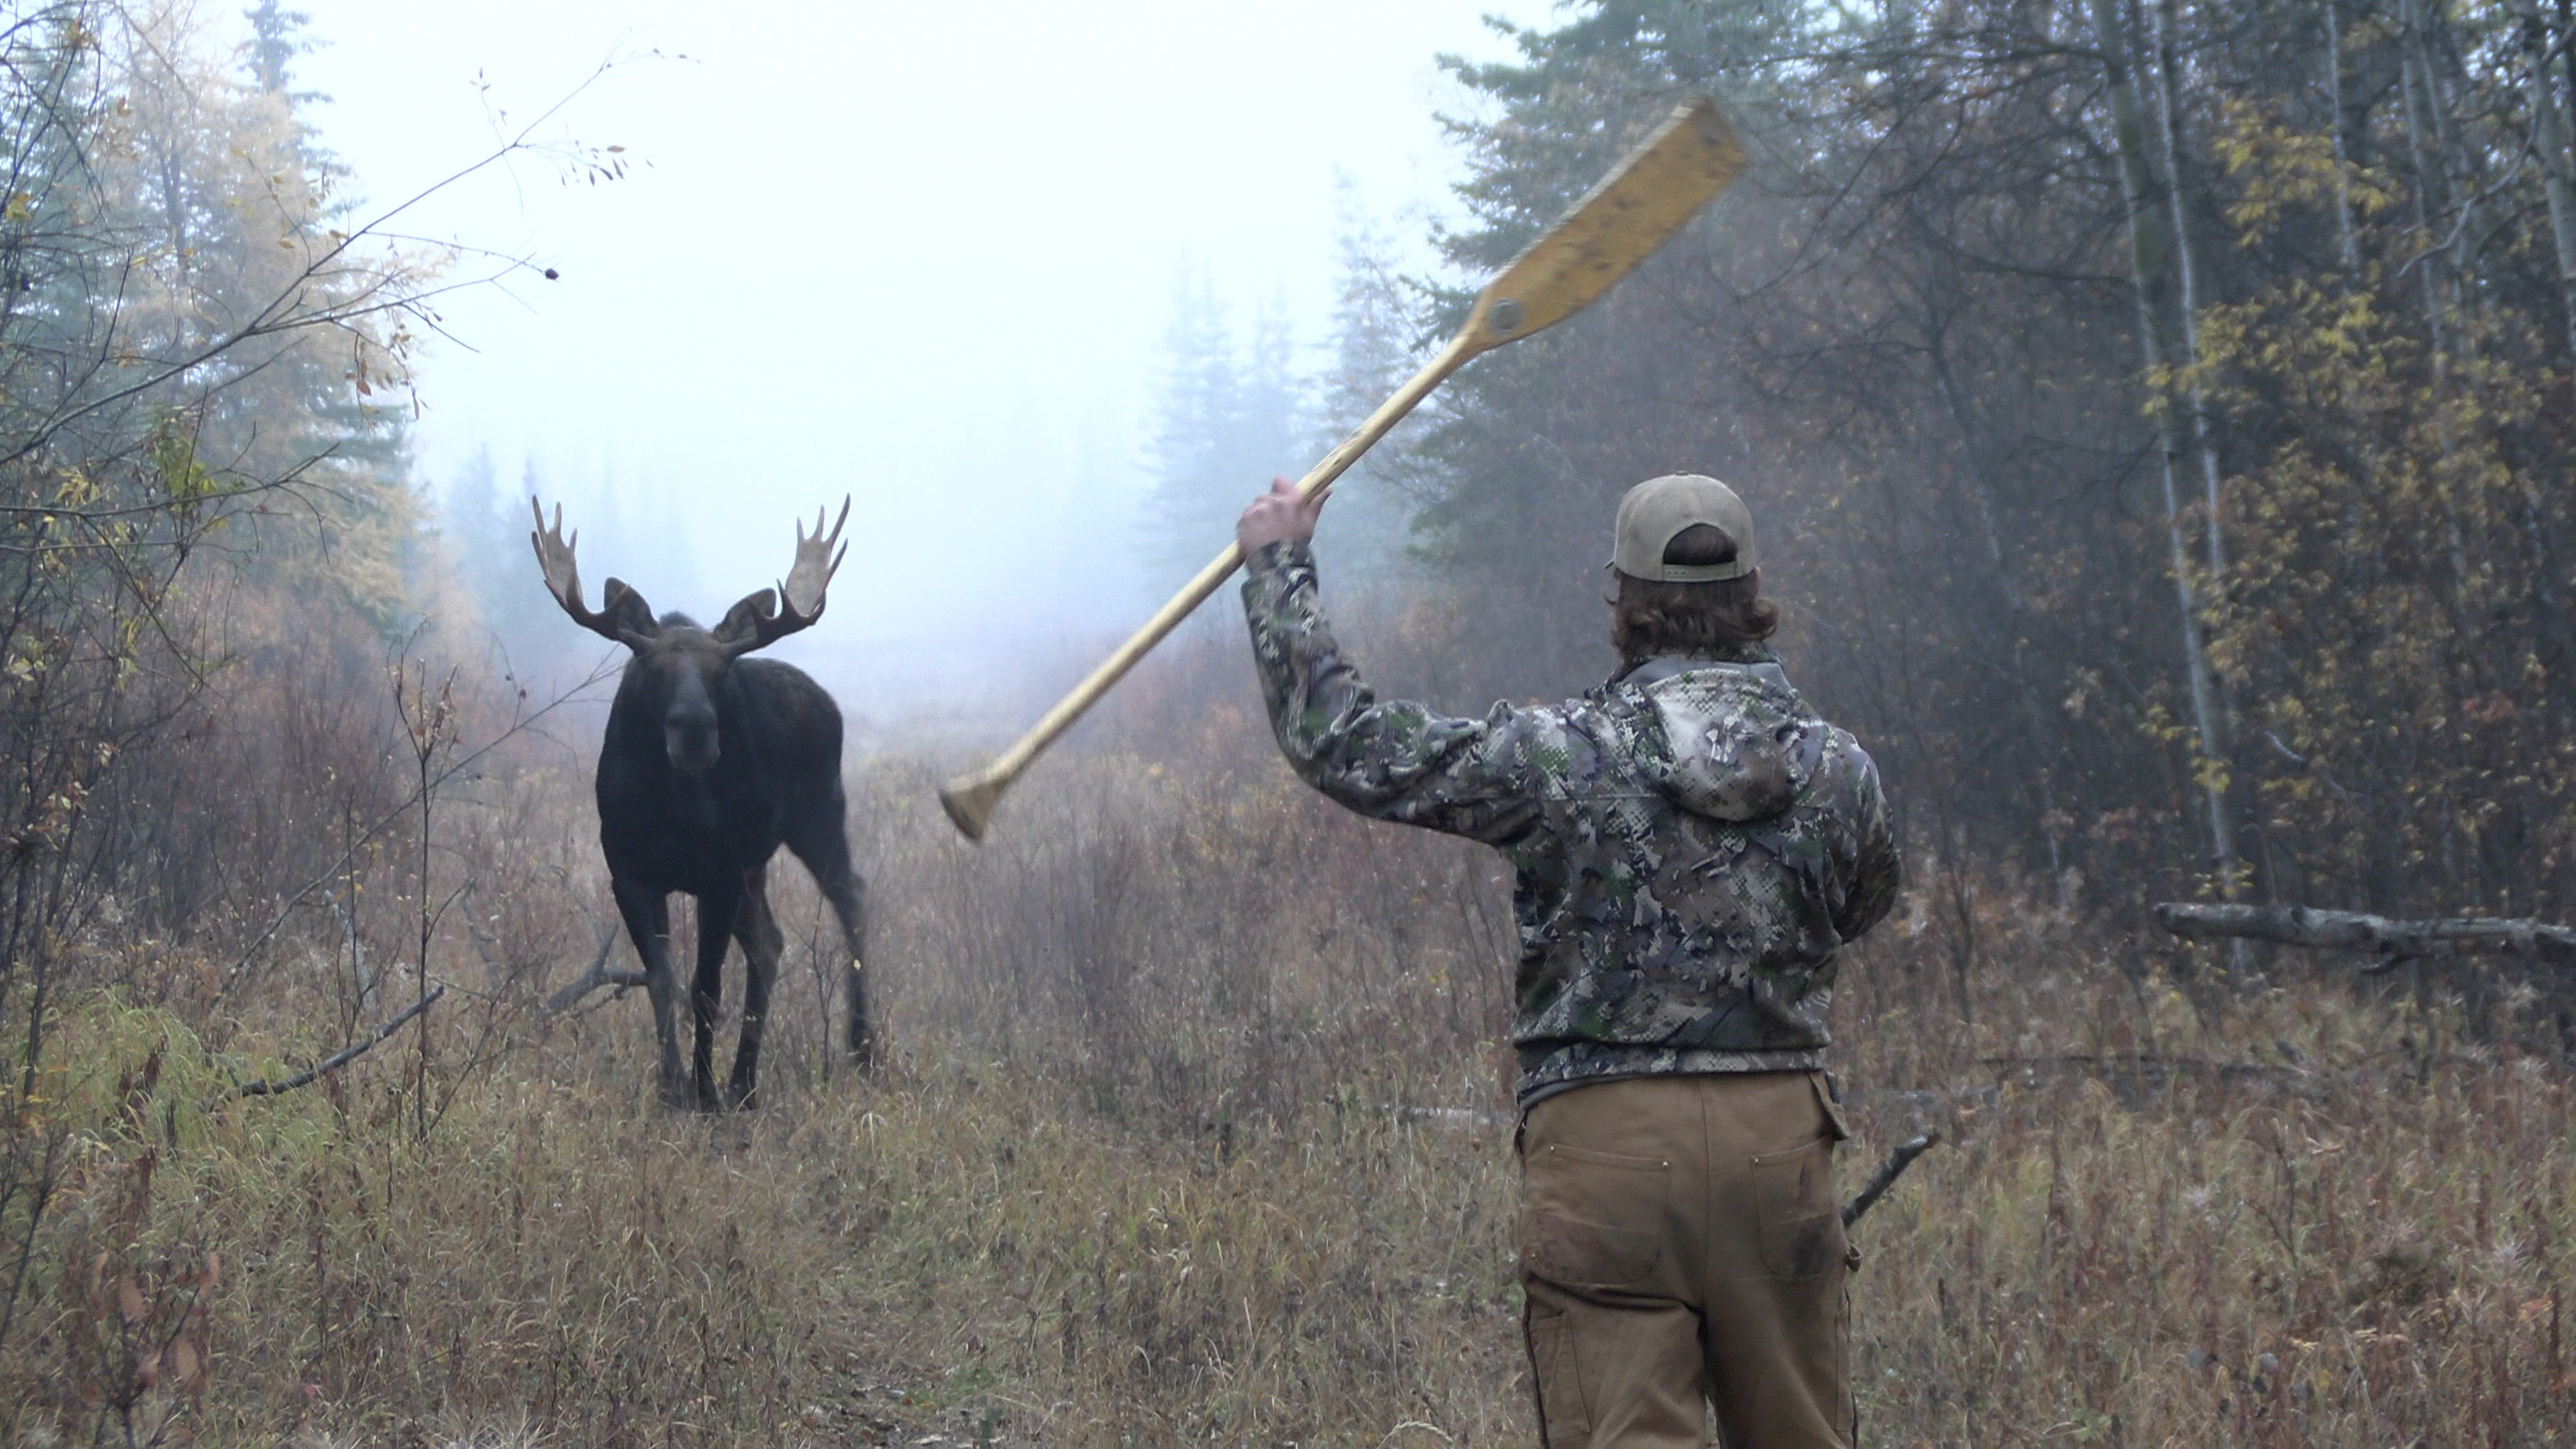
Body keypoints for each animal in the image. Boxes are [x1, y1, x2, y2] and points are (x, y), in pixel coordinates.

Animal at [531, 499, 871, 1109]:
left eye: (722, 671)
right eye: (651, 666)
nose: (694, 731)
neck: (673, 813)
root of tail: (829, 704)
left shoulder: (719, 875)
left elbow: (705, 988)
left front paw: (704, 1093)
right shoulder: (629, 872)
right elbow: (662, 980)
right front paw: (673, 1087)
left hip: (819, 813)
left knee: (850, 898)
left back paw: (862, 1048)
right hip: (758, 863)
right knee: (770, 943)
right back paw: (745, 1083)